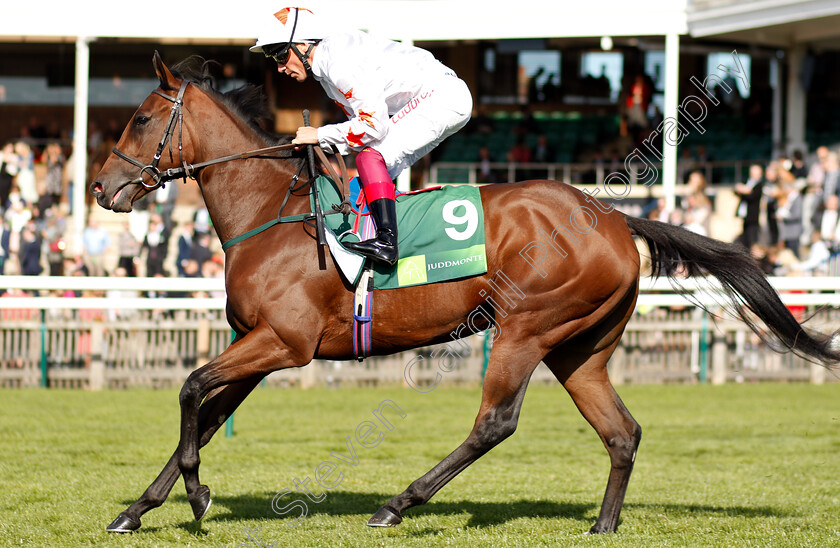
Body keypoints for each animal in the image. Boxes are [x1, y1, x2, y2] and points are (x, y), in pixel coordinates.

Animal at [92, 53, 840, 532]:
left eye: (138, 120)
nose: (101, 187)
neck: (271, 213)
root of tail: (612, 216)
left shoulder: (284, 342)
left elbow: (191, 390)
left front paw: (195, 497)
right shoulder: (259, 342)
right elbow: (207, 413)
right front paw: (137, 509)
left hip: (526, 326)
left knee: (495, 422)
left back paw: (397, 504)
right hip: (580, 348)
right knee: (621, 432)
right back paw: (602, 525)